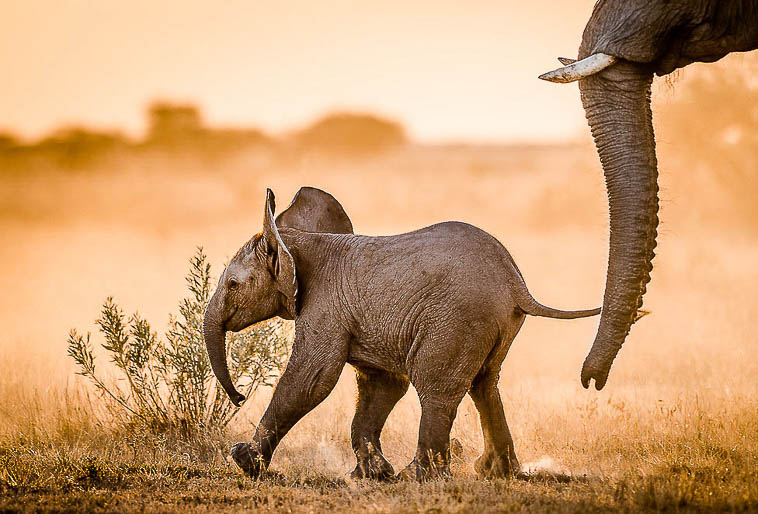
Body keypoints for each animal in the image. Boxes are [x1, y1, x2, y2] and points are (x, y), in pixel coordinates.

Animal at [205, 187, 604, 480]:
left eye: (233, 284)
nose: (239, 398)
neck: (299, 240)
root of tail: (517, 284)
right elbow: (382, 384)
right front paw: (370, 475)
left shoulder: (325, 306)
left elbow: (312, 379)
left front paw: (244, 461)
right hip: (494, 323)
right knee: (485, 384)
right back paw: (496, 472)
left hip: (457, 319)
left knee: (436, 386)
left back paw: (417, 476)